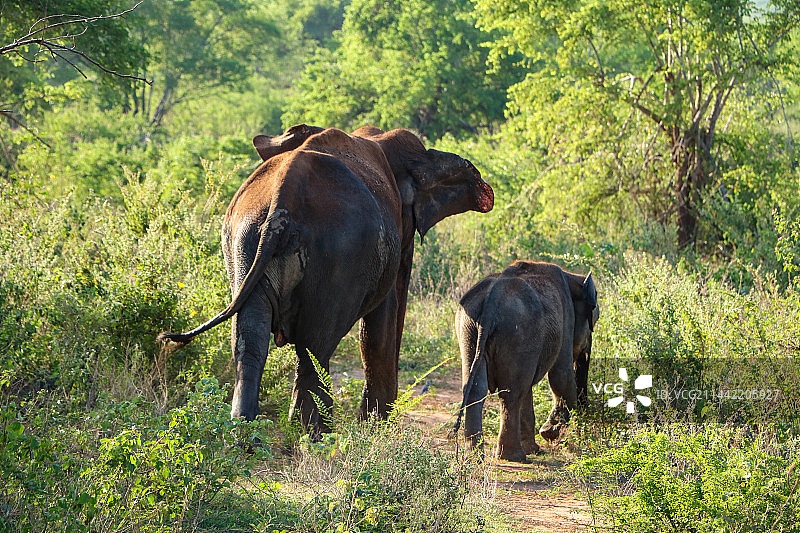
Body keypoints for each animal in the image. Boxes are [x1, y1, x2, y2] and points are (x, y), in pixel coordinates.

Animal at [158, 124, 494, 434]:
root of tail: (283, 200)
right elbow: (378, 329)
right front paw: (374, 427)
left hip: (244, 241)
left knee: (250, 341)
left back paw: (249, 436)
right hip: (339, 255)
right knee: (315, 348)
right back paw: (316, 435)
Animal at [452, 261, 598, 463]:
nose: (585, 409)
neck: (571, 276)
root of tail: (491, 300)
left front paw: (537, 446)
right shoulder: (566, 316)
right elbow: (561, 375)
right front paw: (549, 434)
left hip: (468, 329)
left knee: (478, 389)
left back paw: (474, 458)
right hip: (518, 331)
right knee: (512, 393)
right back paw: (514, 457)